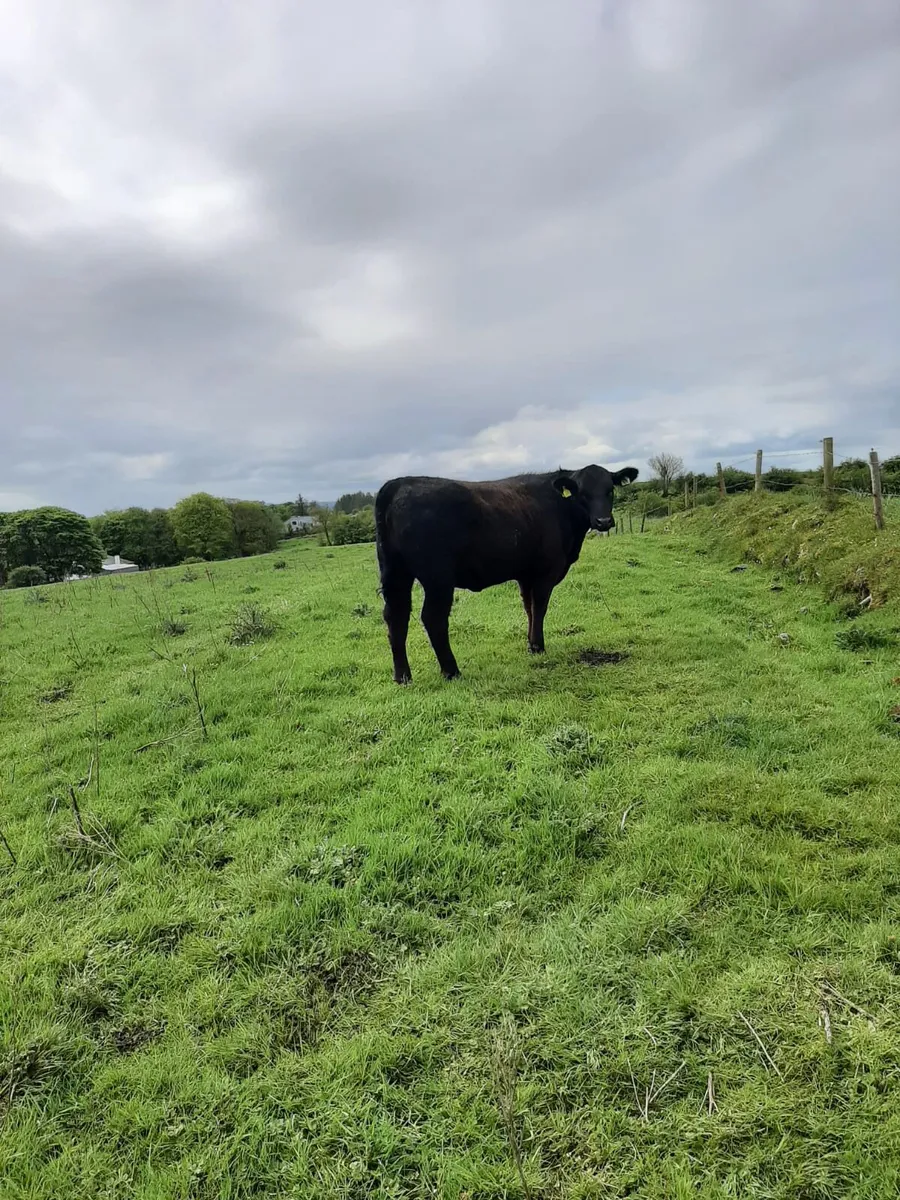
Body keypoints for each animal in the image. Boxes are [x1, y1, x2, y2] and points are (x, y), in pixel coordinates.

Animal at [374, 463, 639, 683]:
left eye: (609, 490)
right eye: (582, 493)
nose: (603, 521)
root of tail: (398, 483)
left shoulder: (526, 574)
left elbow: (529, 608)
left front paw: (531, 644)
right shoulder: (546, 571)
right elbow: (540, 607)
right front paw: (538, 646)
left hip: (396, 574)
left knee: (395, 617)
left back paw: (402, 676)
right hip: (437, 579)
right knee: (432, 618)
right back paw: (451, 671)